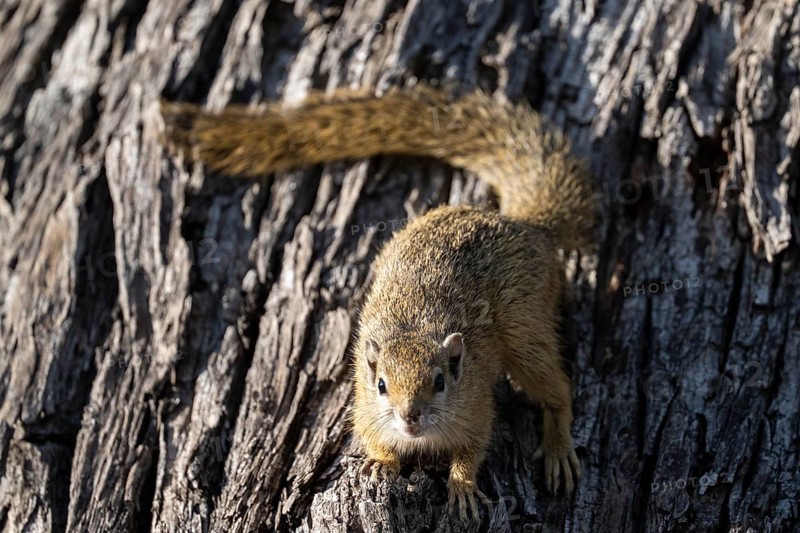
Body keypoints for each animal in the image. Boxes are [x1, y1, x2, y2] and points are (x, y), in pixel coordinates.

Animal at [160, 85, 594, 522]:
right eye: (382, 384)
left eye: (440, 381)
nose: (409, 416)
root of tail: (527, 226)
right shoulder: (365, 407)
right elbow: (372, 438)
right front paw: (381, 463)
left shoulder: (474, 405)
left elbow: (473, 448)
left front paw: (461, 486)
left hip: (523, 324)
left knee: (556, 389)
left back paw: (558, 448)